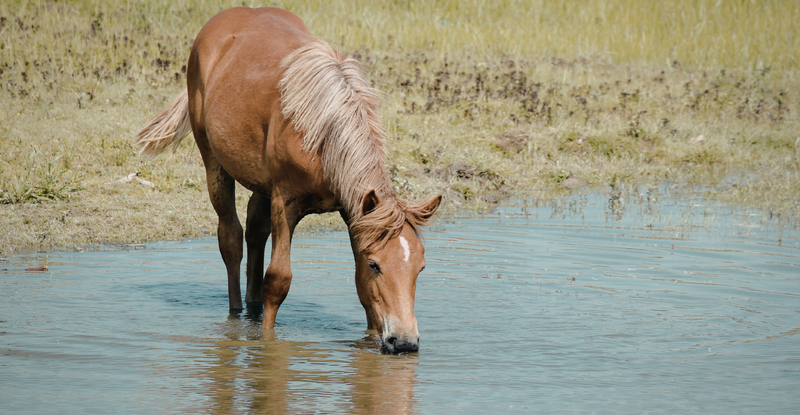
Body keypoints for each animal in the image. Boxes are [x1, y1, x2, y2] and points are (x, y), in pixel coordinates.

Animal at [135, 7, 441, 354]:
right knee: (230, 238)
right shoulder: (286, 202)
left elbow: (361, 291)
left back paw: (251, 306)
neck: (322, 134)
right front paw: (266, 344)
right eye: (376, 265)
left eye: (420, 266)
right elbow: (278, 280)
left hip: (261, 184)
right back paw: (235, 314)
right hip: (214, 162)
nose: (405, 342)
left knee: (255, 232)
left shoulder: (353, 211)